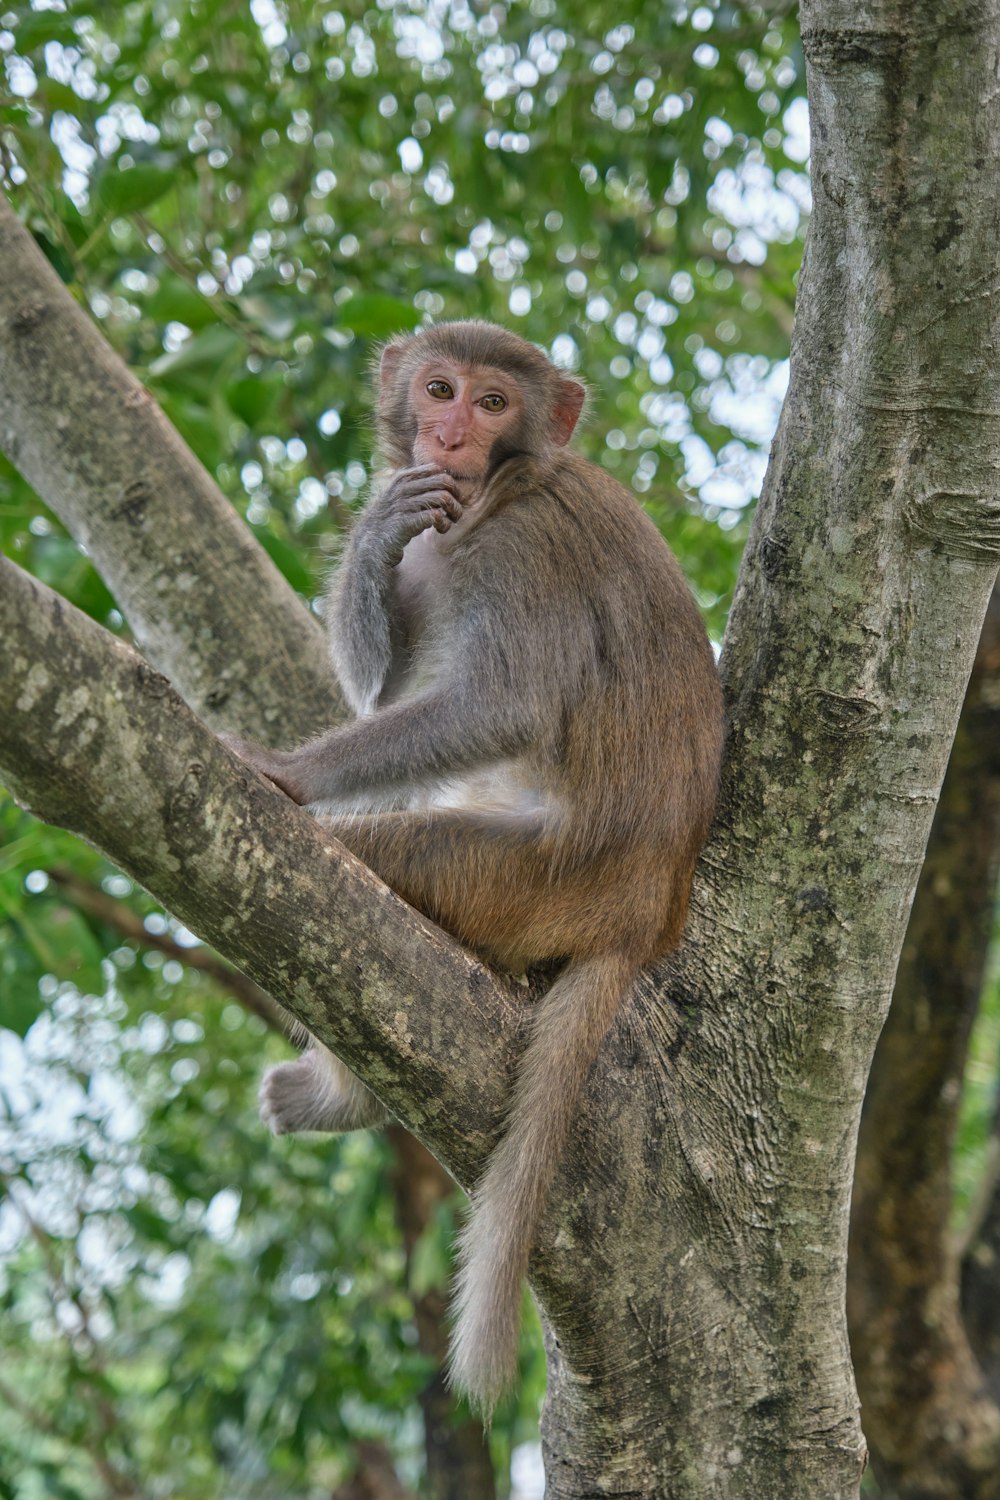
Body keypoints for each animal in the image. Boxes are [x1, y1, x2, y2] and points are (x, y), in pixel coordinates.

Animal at [226, 319, 722, 1416]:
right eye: (440, 389)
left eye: (494, 403)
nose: (449, 434)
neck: (509, 481)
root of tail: (648, 913)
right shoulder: (441, 531)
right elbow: (380, 687)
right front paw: (374, 527)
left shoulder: (518, 549)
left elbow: (501, 707)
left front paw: (286, 771)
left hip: (523, 878)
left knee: (353, 873)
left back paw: (341, 1090)